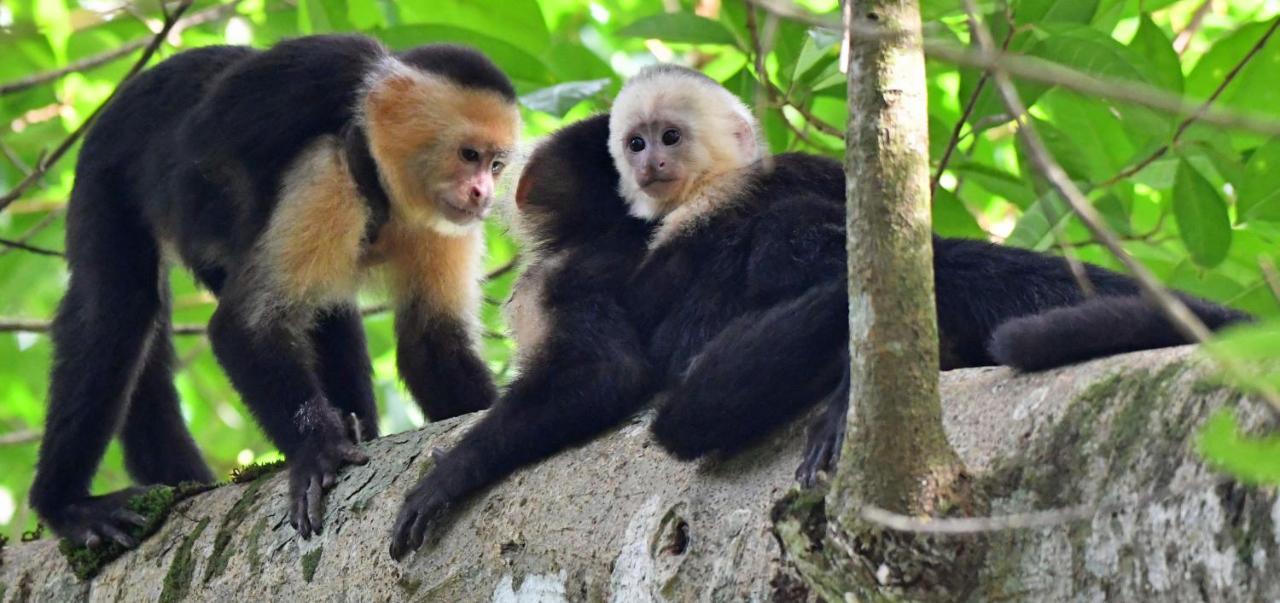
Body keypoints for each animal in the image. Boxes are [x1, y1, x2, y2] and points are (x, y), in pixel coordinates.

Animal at [31, 35, 519, 550]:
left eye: (496, 164)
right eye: (469, 155)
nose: (483, 195)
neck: (387, 186)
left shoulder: (445, 226)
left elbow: (431, 343)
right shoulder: (330, 167)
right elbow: (242, 326)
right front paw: (317, 450)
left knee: (328, 311)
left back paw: (357, 424)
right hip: (106, 171)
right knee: (118, 311)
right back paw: (65, 505)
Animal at [384, 63, 1244, 558]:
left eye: (663, 138)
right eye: (631, 145)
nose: (652, 162)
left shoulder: (560, 281)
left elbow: (603, 372)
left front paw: (448, 474)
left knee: (695, 400)